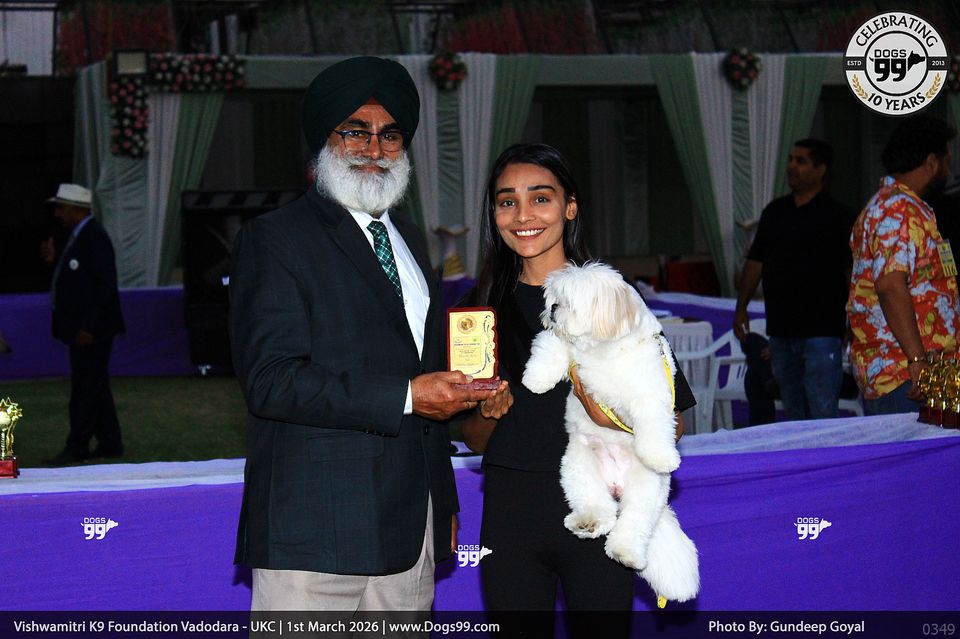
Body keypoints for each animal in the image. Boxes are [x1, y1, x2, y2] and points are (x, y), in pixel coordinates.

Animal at [521, 261, 699, 604]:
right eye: (554, 299)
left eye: (569, 302)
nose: (552, 308)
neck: (603, 351)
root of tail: (616, 486)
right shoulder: (565, 348)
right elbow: (550, 346)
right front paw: (535, 379)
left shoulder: (650, 396)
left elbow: (655, 426)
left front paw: (663, 456)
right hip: (578, 468)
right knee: (599, 508)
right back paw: (587, 522)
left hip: (645, 494)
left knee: (631, 525)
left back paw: (625, 552)